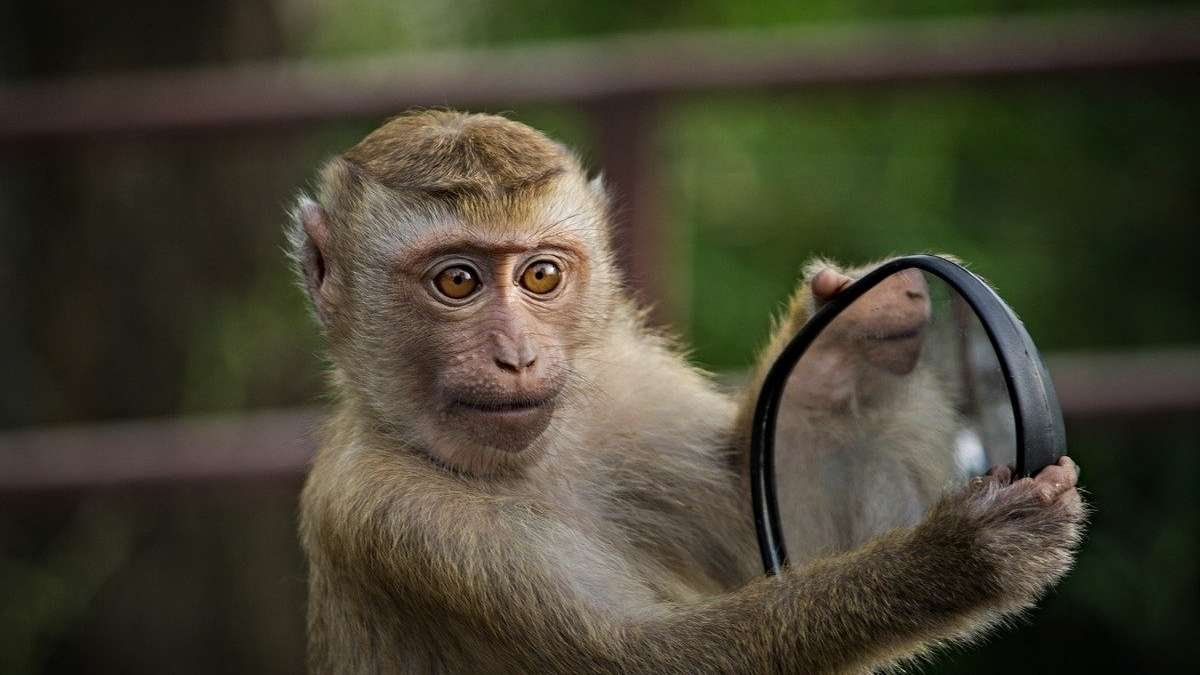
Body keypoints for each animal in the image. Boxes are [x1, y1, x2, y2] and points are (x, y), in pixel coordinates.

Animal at [289, 110, 1085, 674]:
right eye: (457, 281)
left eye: (541, 275)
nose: (517, 356)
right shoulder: (395, 517)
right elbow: (649, 658)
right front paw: (956, 557)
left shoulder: (624, 389)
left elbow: (763, 514)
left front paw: (845, 340)